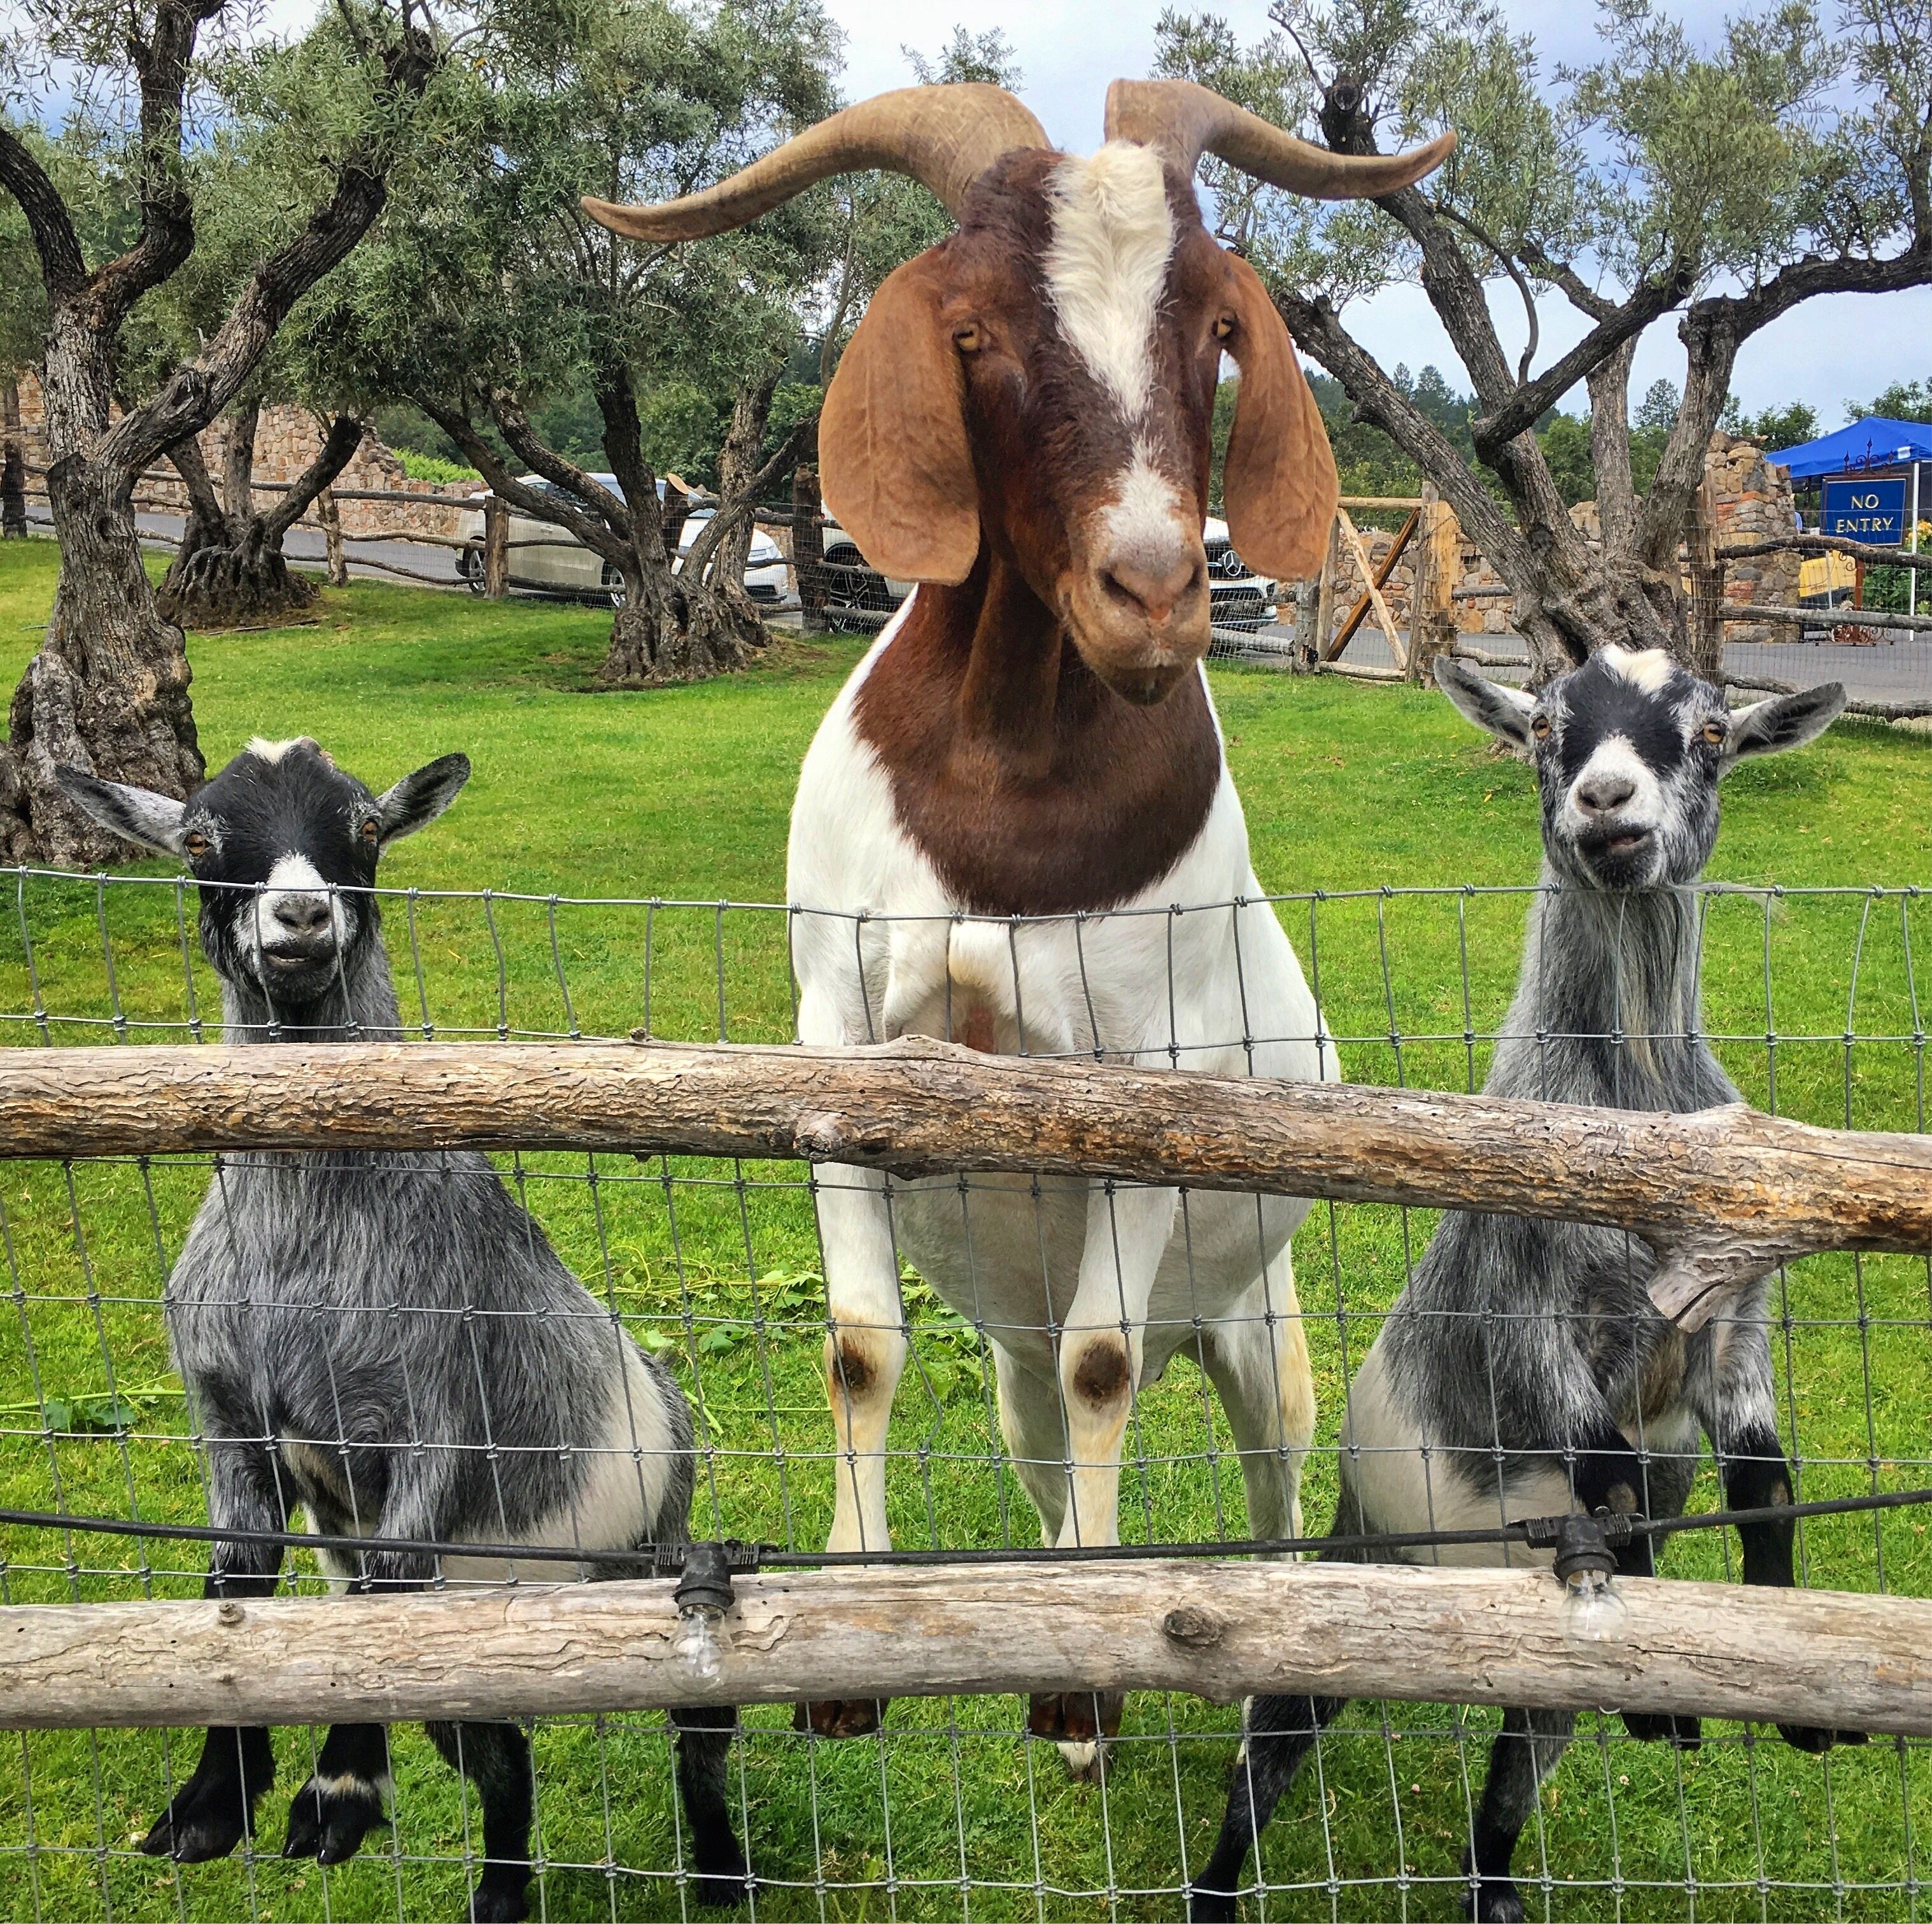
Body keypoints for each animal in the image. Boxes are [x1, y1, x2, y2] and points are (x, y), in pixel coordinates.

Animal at [57, 741, 746, 1923]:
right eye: (197, 836)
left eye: (368, 829)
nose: (299, 916)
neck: (299, 1264)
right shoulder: (229, 1419)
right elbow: (236, 1588)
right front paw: (211, 1801)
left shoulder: (434, 1412)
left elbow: (376, 1590)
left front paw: (336, 1788)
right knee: (501, 1752)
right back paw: (502, 1896)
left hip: (648, 1565)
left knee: (699, 1716)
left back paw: (720, 1868)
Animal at [586, 80, 1452, 1768]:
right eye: (976, 330)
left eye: (1213, 326)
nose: (1154, 588)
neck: (1004, 781)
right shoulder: (841, 1050)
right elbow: (863, 1343)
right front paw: (852, 1649)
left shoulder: (1143, 1091)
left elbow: (1107, 1360)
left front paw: (1099, 1658)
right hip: (1007, 1344)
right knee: (1040, 1432)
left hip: (1248, 1315)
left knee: (1260, 1453)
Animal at [1192, 649, 1854, 1923]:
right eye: (1545, 726)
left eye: (1710, 734)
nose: (1606, 801)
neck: (1631, 1110)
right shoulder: (1526, 1315)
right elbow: (1608, 1481)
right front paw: (1675, 1701)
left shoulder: (1730, 1324)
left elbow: (1763, 1484)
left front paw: (1786, 1692)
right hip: (1357, 1569)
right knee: (1271, 1744)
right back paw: (1211, 1890)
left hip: (1527, 1667)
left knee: (1512, 1767)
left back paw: (1516, 1868)